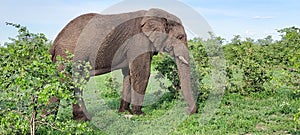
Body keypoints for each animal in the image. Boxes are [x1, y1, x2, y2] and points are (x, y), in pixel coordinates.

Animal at [49, 8, 197, 120]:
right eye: (179, 37)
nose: (187, 110)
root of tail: (55, 41)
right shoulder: (138, 42)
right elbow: (142, 73)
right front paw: (140, 114)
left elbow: (128, 75)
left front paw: (125, 112)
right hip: (72, 54)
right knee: (72, 82)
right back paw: (81, 119)